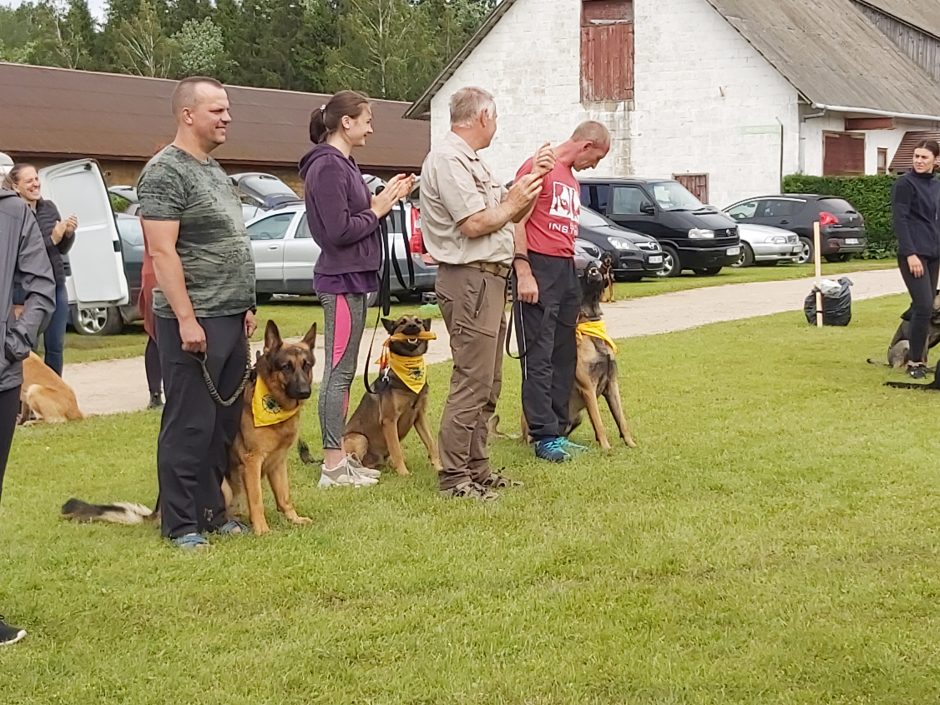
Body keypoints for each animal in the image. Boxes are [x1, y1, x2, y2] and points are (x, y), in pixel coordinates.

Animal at [64, 320, 320, 532]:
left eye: (306, 365)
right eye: (286, 367)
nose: (305, 391)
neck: (272, 399)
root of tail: (158, 511)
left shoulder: (278, 462)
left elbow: (284, 497)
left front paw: (294, 519)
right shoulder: (252, 462)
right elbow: (256, 500)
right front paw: (263, 530)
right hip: (224, 486)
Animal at [340, 316, 442, 476]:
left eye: (418, 321)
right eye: (402, 322)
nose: (412, 326)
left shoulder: (420, 416)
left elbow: (432, 444)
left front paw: (439, 467)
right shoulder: (389, 421)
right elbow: (397, 450)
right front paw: (404, 473)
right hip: (360, 438)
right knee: (353, 462)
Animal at [564, 260, 640, 452]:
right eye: (580, 274)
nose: (593, 263)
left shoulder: (612, 383)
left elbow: (621, 420)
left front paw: (630, 443)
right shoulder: (588, 388)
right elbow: (599, 423)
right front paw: (606, 448)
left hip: (578, 417)